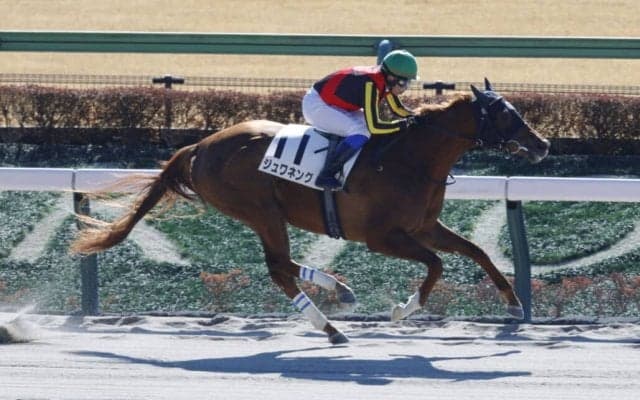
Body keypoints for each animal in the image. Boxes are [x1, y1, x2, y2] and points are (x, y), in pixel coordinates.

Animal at [72, 78, 550, 344]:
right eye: (506, 114)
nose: (543, 144)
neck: (410, 158)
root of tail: (200, 146)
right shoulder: (381, 237)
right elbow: (435, 266)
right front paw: (403, 310)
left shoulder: (424, 226)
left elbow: (476, 252)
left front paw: (513, 305)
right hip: (261, 210)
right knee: (279, 267)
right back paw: (335, 308)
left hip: (265, 215)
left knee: (281, 267)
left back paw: (335, 310)